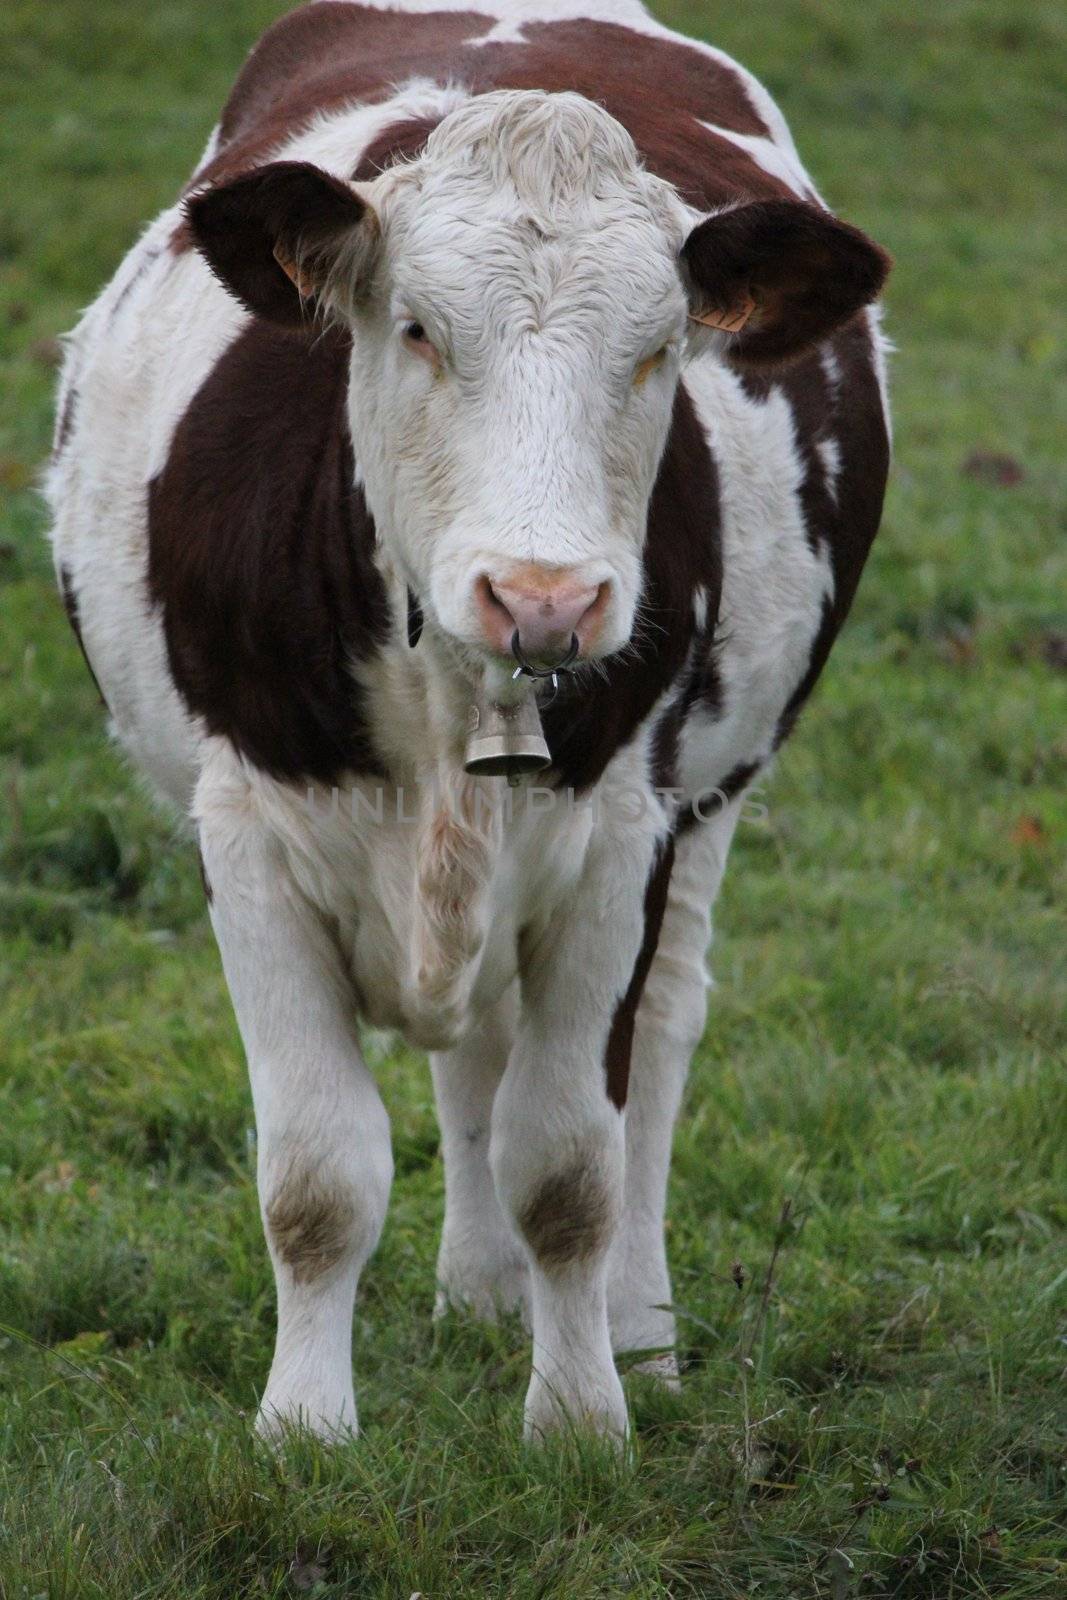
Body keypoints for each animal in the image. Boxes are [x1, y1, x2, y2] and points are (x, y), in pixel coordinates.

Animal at [45, 0, 889, 1446]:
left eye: (656, 348)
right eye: (418, 328)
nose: (540, 595)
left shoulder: (619, 838)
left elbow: (569, 1164)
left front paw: (581, 1421)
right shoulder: (247, 834)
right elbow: (317, 1176)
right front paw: (304, 1432)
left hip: (710, 803)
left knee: (656, 1040)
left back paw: (637, 1332)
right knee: (472, 1057)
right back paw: (480, 1295)